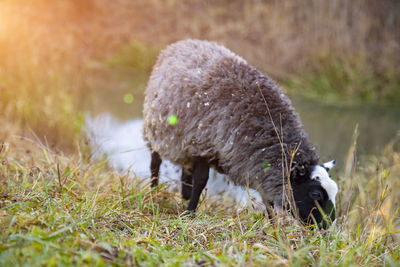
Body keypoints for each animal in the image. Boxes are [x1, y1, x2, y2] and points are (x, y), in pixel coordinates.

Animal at [143, 39, 338, 227]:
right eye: (315, 194)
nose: (329, 223)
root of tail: (182, 43)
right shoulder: (204, 146)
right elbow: (200, 181)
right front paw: (190, 214)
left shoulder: (255, 165)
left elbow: (267, 199)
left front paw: (273, 225)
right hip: (157, 131)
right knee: (155, 163)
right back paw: (153, 191)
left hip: (186, 144)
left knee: (185, 170)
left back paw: (183, 195)